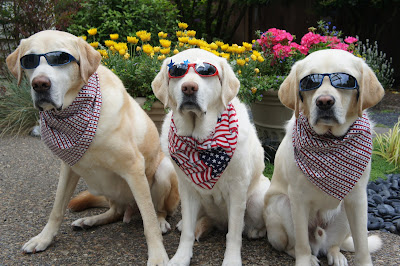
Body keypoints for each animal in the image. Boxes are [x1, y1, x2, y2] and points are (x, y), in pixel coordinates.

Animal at [5, 30, 179, 264]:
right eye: (28, 60)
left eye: (61, 58)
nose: (40, 84)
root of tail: (129, 207)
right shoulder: (68, 168)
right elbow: (57, 208)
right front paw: (44, 238)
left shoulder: (134, 168)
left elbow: (148, 220)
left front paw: (158, 255)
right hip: (106, 188)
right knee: (115, 212)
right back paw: (90, 221)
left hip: (163, 171)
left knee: (157, 211)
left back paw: (160, 221)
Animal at [152, 48, 270, 266]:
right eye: (177, 71)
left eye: (206, 71)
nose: (189, 88)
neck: (200, 140)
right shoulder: (187, 188)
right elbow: (188, 232)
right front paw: (181, 257)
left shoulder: (238, 188)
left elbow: (234, 233)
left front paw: (231, 260)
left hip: (258, 197)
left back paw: (254, 231)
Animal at [264, 49, 382, 266]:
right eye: (309, 81)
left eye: (345, 80)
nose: (324, 101)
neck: (328, 139)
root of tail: (319, 240)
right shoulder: (298, 198)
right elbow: (302, 242)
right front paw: (303, 260)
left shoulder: (358, 198)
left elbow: (362, 244)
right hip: (281, 206)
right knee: (293, 246)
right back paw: (309, 256)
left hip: (344, 212)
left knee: (333, 245)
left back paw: (336, 255)